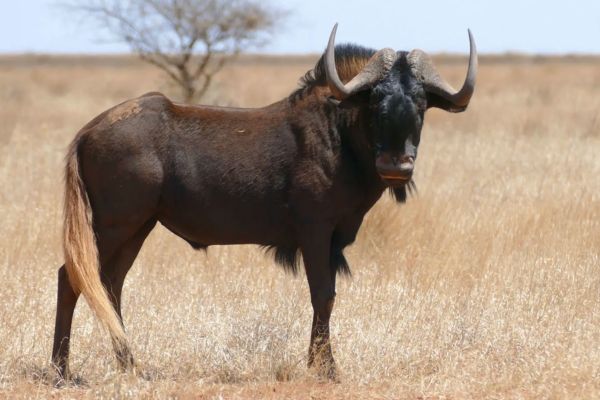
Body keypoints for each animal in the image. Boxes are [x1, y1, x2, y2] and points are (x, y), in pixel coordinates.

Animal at [52, 24, 477, 381]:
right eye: (375, 101)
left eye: (420, 102)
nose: (396, 166)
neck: (340, 135)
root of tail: (87, 132)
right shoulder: (316, 233)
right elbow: (323, 295)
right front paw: (325, 368)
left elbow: (326, 296)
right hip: (113, 226)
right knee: (72, 277)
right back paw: (61, 369)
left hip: (137, 228)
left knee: (110, 283)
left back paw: (129, 365)